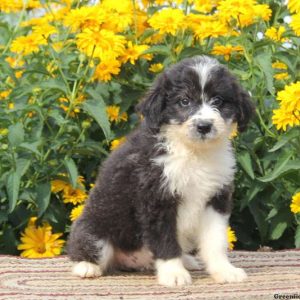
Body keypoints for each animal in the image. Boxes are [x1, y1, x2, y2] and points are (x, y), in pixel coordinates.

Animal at [67, 55, 254, 288]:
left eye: (218, 100)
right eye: (184, 101)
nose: (204, 126)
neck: (192, 152)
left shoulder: (216, 197)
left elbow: (216, 240)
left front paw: (224, 270)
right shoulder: (157, 199)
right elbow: (165, 241)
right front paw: (174, 274)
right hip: (95, 230)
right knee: (86, 249)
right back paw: (86, 266)